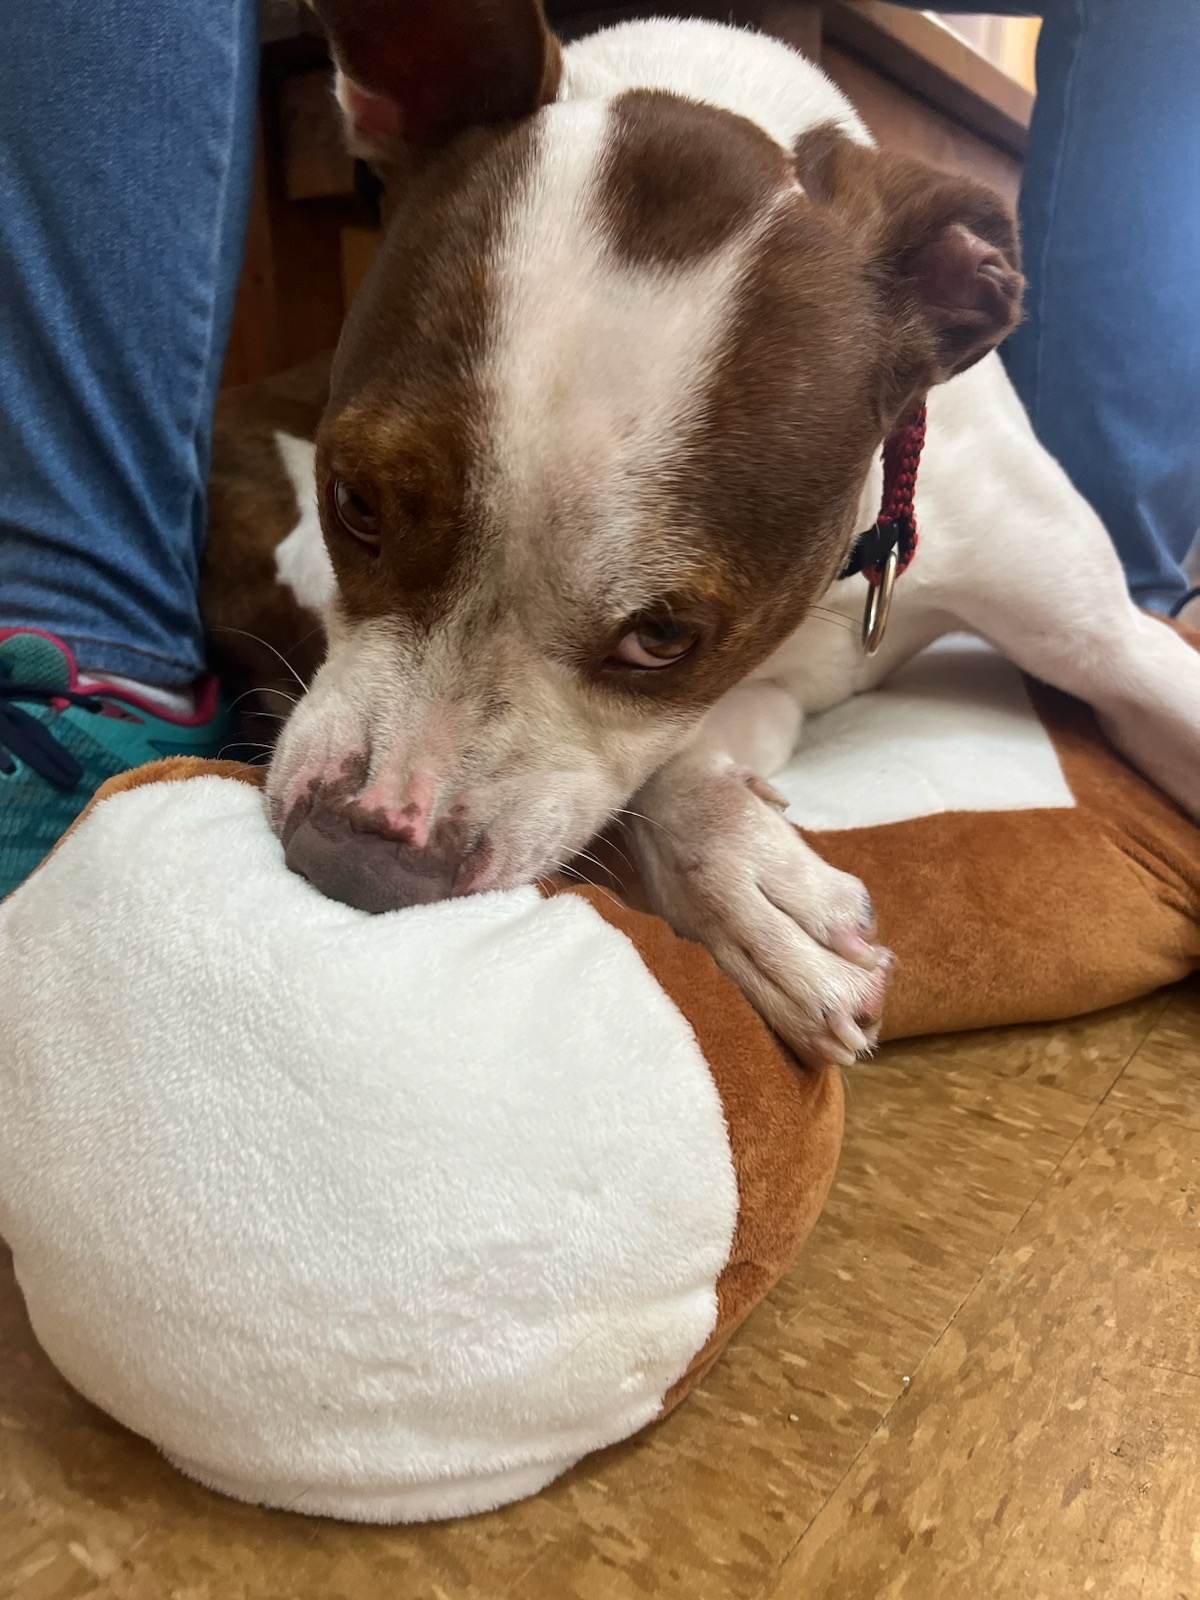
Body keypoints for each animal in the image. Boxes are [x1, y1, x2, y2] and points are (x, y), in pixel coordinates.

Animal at [211, 6, 1200, 1068]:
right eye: (356, 502)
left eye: (663, 638)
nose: (357, 857)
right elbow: (666, 764)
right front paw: (752, 882)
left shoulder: (1108, 641)